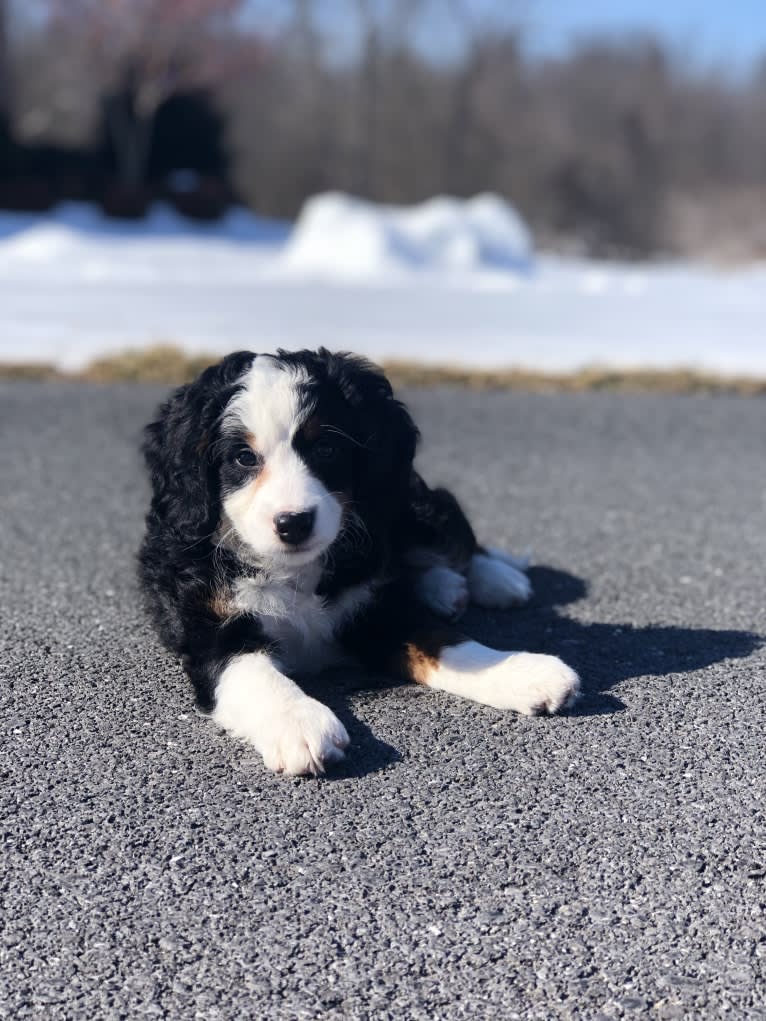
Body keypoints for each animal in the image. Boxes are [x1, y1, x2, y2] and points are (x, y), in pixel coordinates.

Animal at [139, 351, 580, 771]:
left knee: (450, 541)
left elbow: (443, 641)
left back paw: (495, 580)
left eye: (326, 448)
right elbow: (251, 670)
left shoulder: (374, 608)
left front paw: (521, 671)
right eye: (244, 457)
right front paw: (298, 723)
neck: (297, 572)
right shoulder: (209, 629)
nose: (294, 523)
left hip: (405, 501)